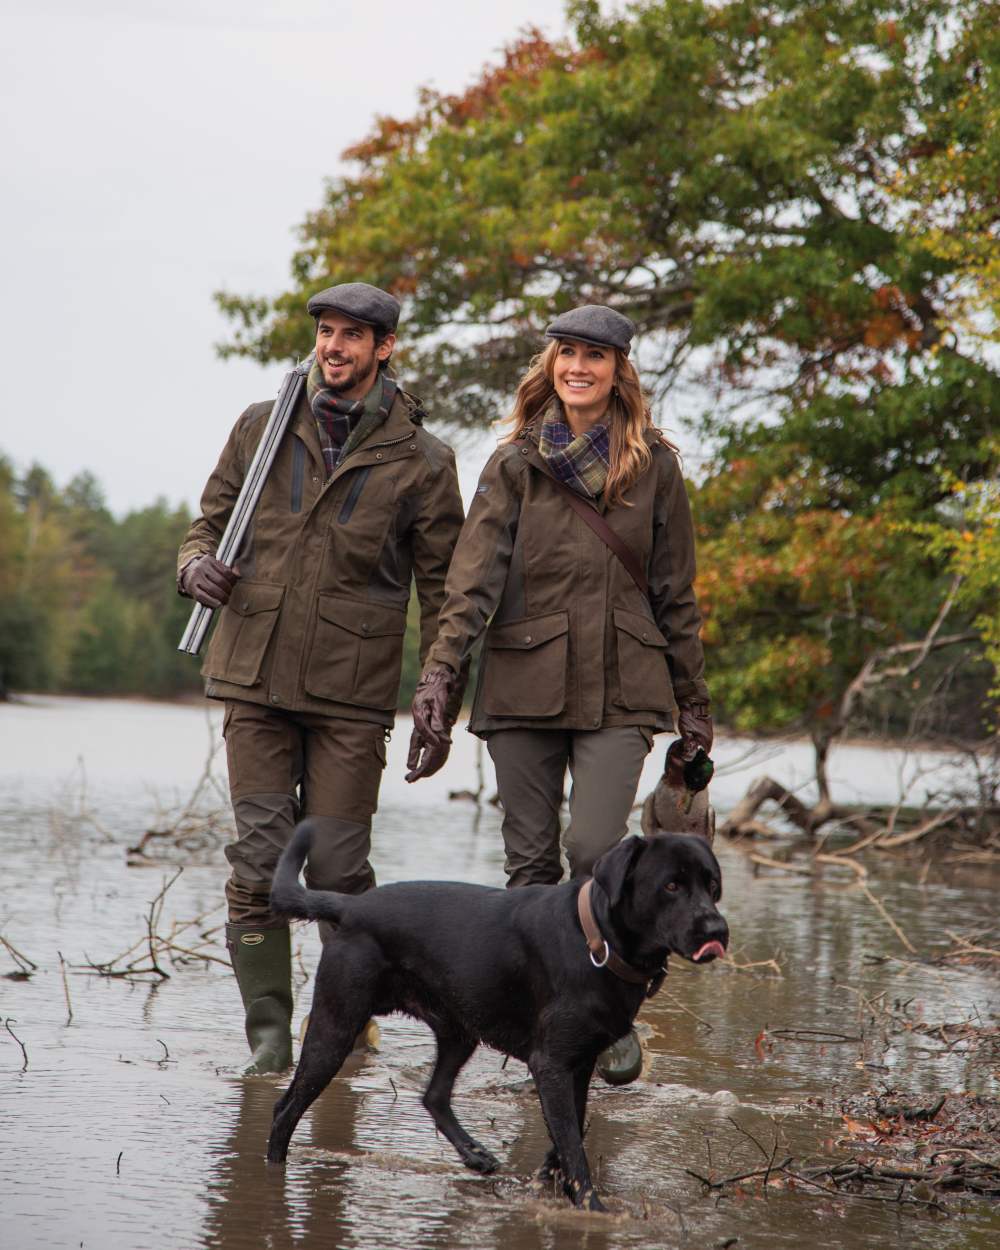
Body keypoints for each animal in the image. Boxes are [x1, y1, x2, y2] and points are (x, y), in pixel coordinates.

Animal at [267, 820, 725, 1210]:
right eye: (671, 885)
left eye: (712, 884)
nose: (717, 930)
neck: (596, 940)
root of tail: (350, 907)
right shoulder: (552, 1064)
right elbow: (573, 1144)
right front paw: (591, 1209)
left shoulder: (578, 1063)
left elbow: (568, 1133)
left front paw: (546, 1183)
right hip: (335, 1027)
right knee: (285, 1110)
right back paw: (273, 1171)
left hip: (458, 1032)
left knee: (434, 1095)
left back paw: (474, 1155)